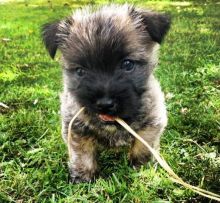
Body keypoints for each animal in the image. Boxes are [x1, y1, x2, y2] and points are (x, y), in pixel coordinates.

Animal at [42, 4, 171, 182]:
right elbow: (82, 154)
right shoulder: (75, 128)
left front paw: (142, 167)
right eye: (80, 71)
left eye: (127, 64)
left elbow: (143, 146)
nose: (104, 104)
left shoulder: (152, 122)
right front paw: (83, 177)